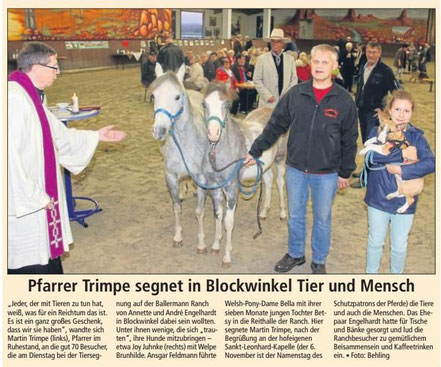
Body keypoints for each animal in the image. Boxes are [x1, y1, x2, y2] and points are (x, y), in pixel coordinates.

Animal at [201, 82, 288, 268]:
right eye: (204, 104)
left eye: (226, 106)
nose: (213, 133)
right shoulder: (215, 188)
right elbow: (217, 215)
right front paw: (215, 246)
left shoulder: (232, 189)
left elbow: (228, 222)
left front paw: (227, 257)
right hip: (265, 166)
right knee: (268, 182)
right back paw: (263, 213)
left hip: (280, 159)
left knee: (279, 182)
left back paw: (283, 214)